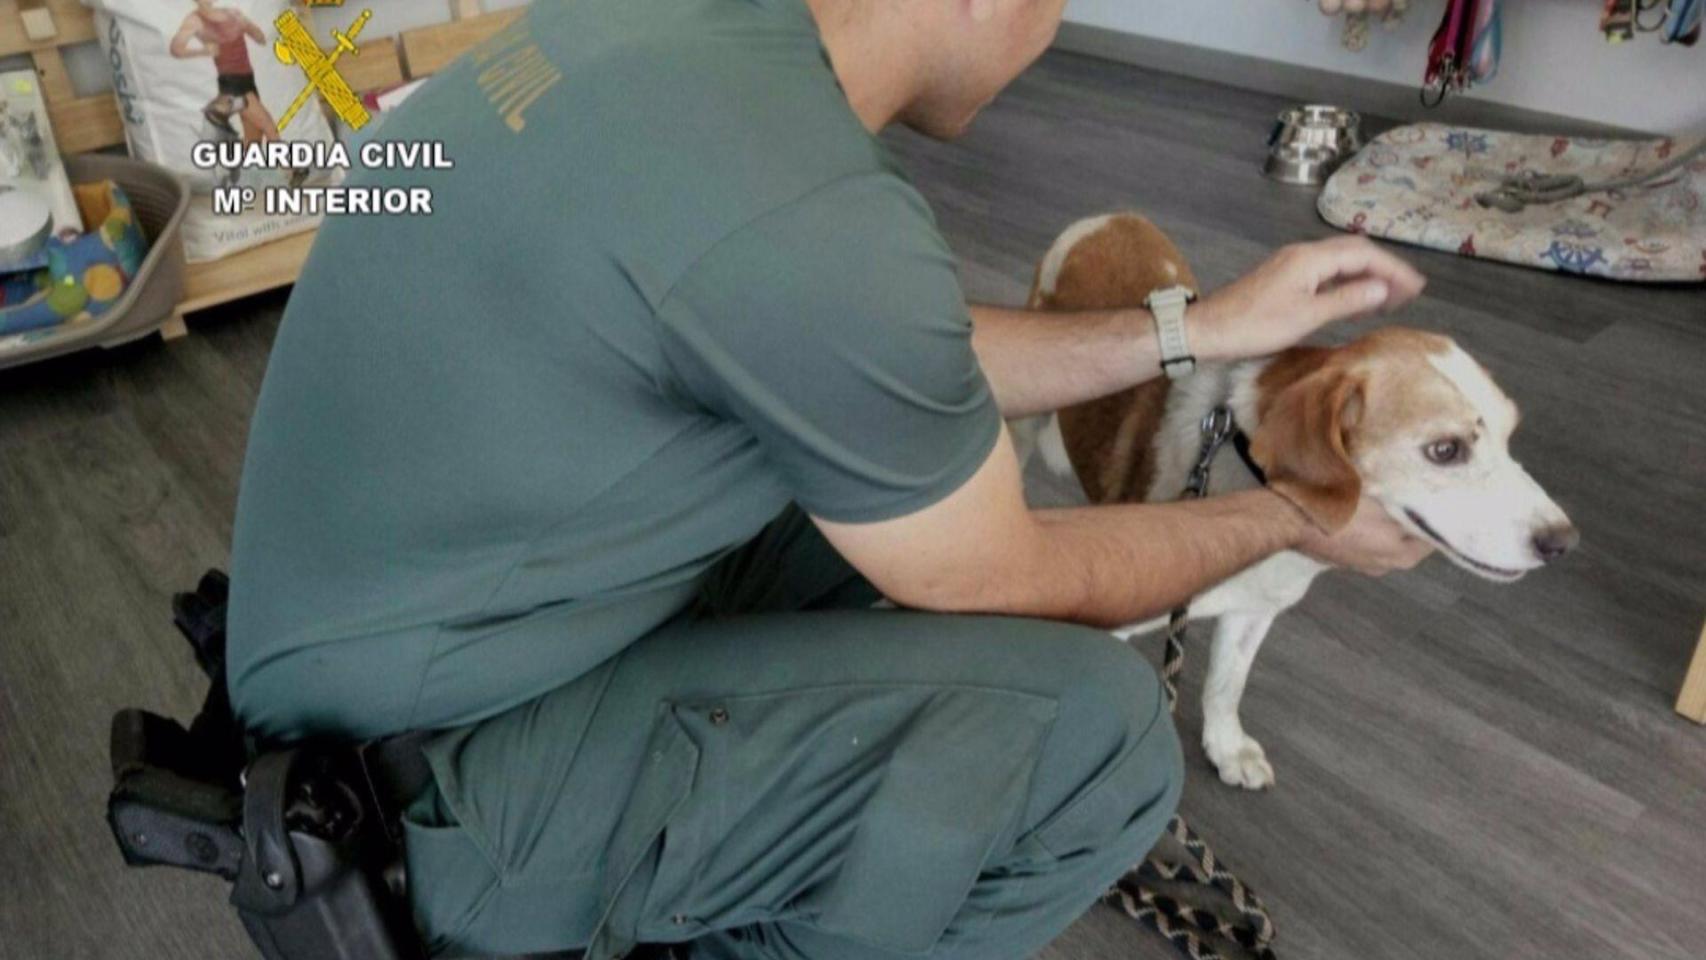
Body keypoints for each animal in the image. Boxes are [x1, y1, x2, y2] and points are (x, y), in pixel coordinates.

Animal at [1023, 213, 1569, 791]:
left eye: (1510, 436)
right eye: (1445, 450)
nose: (1563, 541)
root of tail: (1111, 218)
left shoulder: (1253, 612)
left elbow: (1226, 686)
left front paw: (1226, 747)